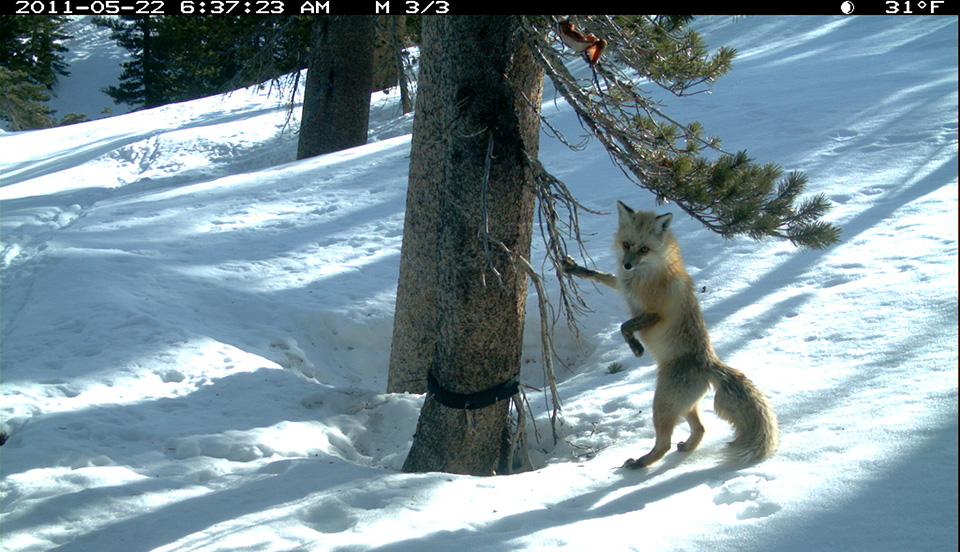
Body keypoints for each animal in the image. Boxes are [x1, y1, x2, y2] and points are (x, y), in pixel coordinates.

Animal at [562, 201, 779, 468]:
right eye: (627, 245)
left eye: (644, 249)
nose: (627, 264)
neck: (641, 276)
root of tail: (710, 363)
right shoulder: (621, 284)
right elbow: (601, 277)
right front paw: (574, 268)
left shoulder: (655, 314)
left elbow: (624, 326)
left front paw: (635, 347)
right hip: (683, 406)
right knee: (701, 429)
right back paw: (686, 447)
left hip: (661, 405)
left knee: (664, 444)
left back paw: (639, 463)